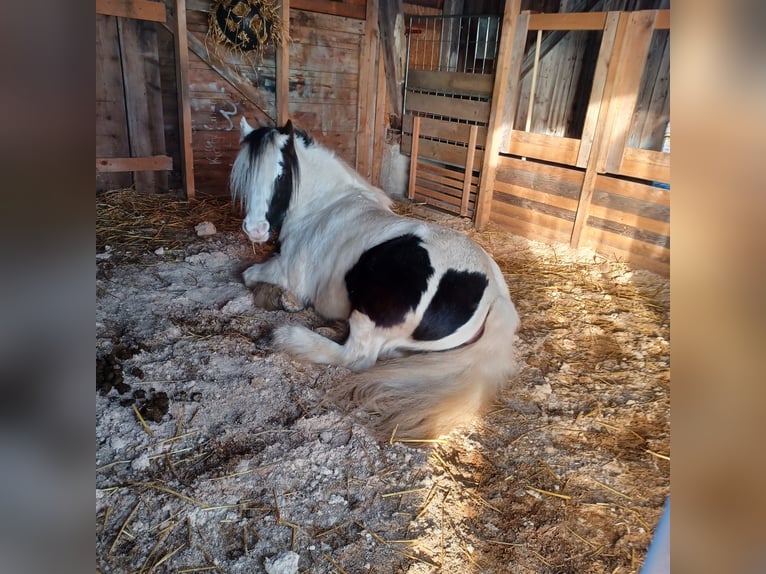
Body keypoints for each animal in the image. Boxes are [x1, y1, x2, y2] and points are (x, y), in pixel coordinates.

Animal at [231, 118, 524, 440]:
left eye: (281, 173)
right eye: (246, 172)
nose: (256, 230)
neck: (322, 206)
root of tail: (495, 295)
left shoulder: (287, 272)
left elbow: (248, 275)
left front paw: (280, 300)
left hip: (369, 316)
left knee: (356, 356)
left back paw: (289, 337)